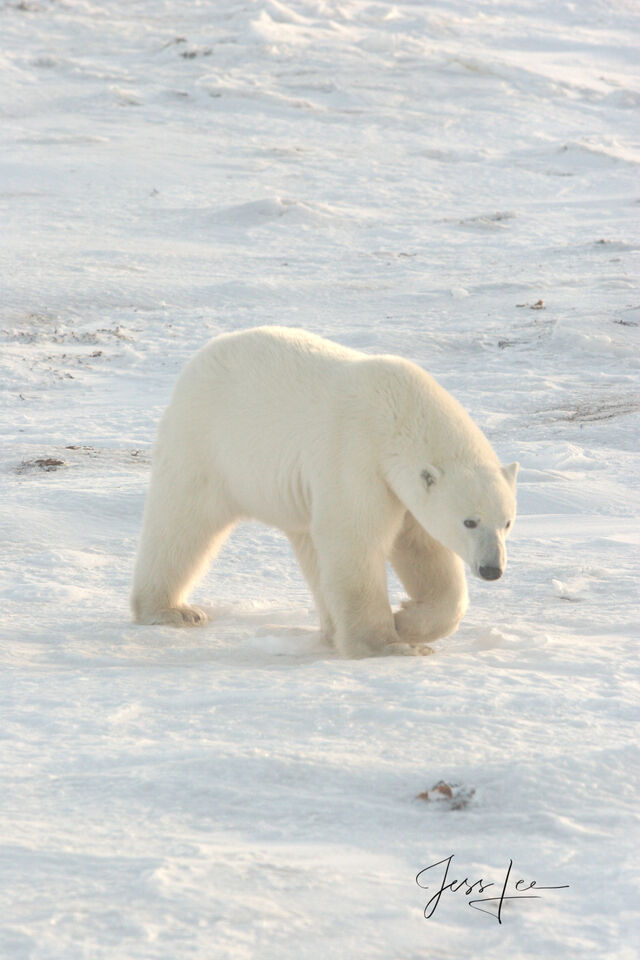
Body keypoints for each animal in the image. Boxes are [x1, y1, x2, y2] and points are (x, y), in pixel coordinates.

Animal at [132, 326, 516, 656]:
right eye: (470, 521)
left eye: (507, 522)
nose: (492, 569)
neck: (396, 412)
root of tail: (201, 357)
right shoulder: (355, 456)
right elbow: (355, 539)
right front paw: (387, 643)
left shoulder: (400, 490)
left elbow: (423, 549)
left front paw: (406, 620)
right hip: (208, 444)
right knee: (184, 523)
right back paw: (171, 610)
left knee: (310, 549)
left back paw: (331, 629)